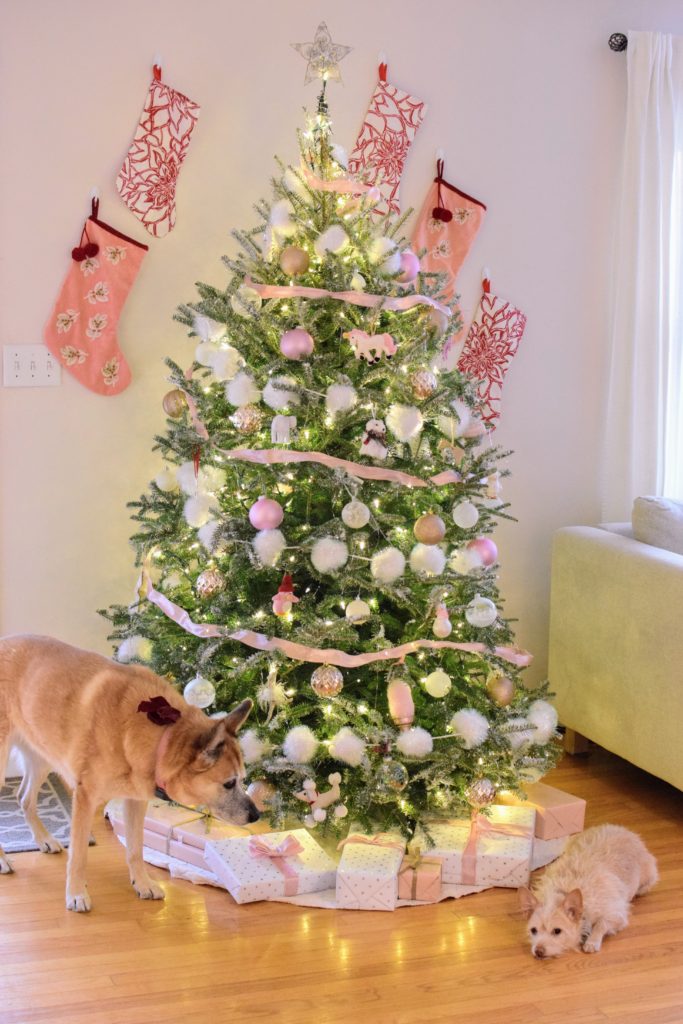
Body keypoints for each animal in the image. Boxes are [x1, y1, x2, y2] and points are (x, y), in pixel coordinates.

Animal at [0, 630, 259, 913]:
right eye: (229, 783)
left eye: (243, 779)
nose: (257, 815)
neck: (161, 737)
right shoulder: (85, 799)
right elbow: (79, 854)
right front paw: (77, 893)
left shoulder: (136, 800)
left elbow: (136, 849)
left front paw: (142, 883)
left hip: (43, 754)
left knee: (23, 798)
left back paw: (44, 839)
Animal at [520, 823, 659, 958]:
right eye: (533, 930)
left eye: (557, 931)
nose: (538, 951)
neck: (564, 891)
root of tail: (626, 831)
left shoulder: (617, 913)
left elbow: (602, 923)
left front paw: (592, 941)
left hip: (649, 876)